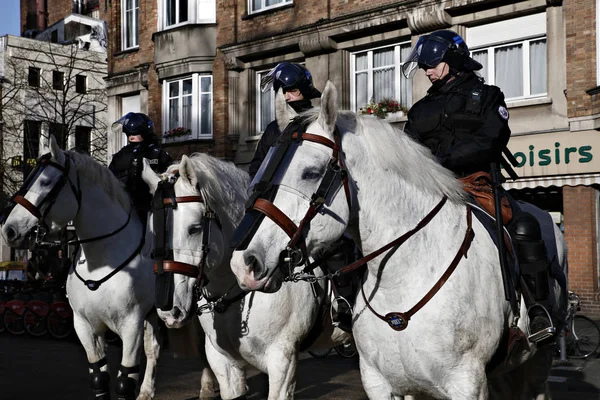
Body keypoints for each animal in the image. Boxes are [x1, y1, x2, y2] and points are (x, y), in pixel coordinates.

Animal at [0, 135, 213, 400]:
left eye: (46, 181)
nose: (9, 230)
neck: (100, 260)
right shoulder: (85, 326)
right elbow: (99, 376)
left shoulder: (131, 325)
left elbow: (125, 379)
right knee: (153, 349)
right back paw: (147, 391)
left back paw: (206, 386)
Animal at [229, 82, 568, 400]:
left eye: (310, 173)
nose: (244, 263)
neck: (403, 280)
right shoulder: (381, 382)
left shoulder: (466, 383)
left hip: (537, 361)